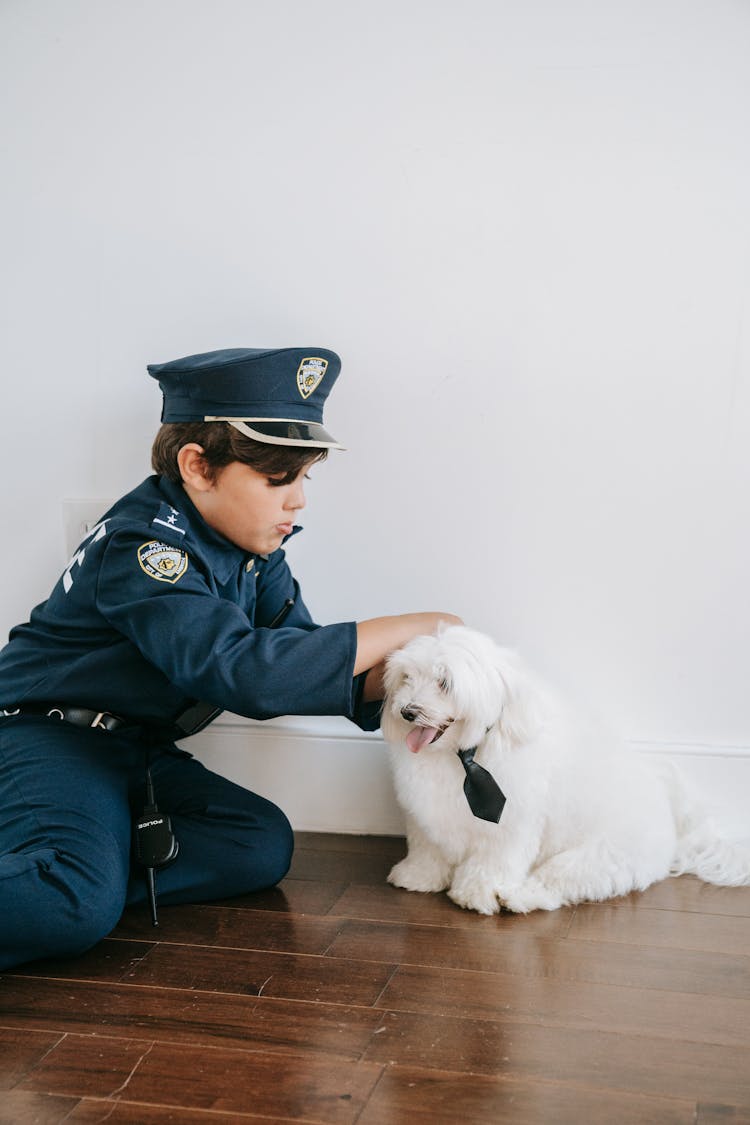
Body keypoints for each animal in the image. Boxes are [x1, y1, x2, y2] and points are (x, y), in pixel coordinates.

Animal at [384, 625, 746, 913]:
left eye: (445, 682)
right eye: (407, 678)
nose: (407, 711)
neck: (463, 755)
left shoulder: (509, 828)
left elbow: (492, 862)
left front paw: (477, 892)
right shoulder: (425, 816)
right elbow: (427, 850)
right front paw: (418, 876)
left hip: (598, 859)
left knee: (556, 884)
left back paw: (515, 897)